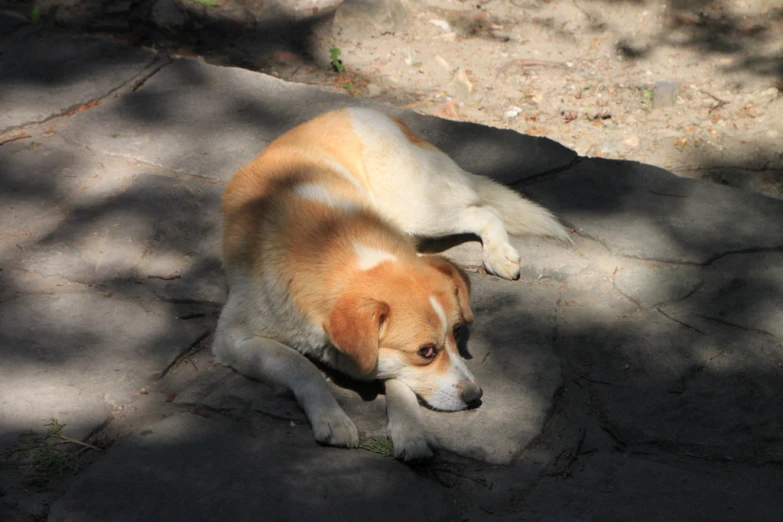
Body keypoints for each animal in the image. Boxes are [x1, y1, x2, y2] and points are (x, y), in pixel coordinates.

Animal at [214, 107, 568, 458]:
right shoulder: (233, 340)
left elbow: (397, 380)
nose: (475, 396)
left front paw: (409, 430)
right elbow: (301, 365)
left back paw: (499, 254)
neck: (337, 249)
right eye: (426, 351)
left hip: (420, 210)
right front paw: (331, 418)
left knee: (484, 211)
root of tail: (367, 111)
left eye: (456, 333)